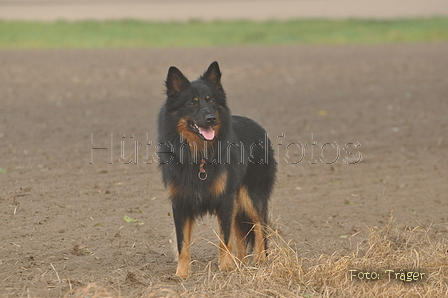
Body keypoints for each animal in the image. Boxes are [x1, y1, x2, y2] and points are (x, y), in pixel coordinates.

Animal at [158, 61, 276, 278]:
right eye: (192, 103)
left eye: (211, 101)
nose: (211, 118)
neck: (198, 157)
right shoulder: (181, 203)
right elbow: (182, 242)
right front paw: (182, 273)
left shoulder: (225, 200)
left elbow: (225, 238)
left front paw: (226, 268)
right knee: (241, 234)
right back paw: (241, 263)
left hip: (251, 197)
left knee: (260, 227)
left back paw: (260, 261)